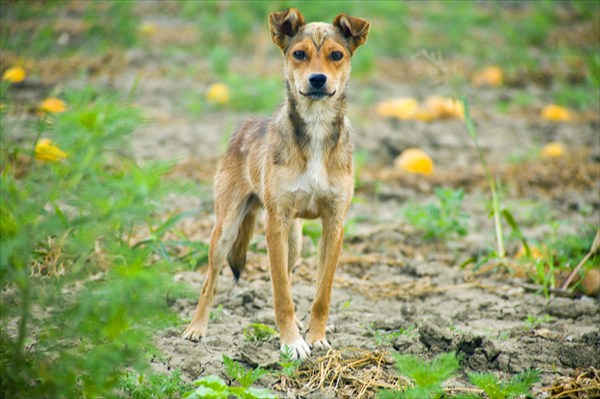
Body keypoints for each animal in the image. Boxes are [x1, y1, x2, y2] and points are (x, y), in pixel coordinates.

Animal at [183, 8, 370, 360]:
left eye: (336, 55)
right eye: (299, 54)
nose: (317, 79)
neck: (315, 129)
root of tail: (246, 125)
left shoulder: (334, 223)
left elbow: (322, 293)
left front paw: (316, 337)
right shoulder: (275, 224)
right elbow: (281, 293)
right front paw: (291, 343)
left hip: (294, 243)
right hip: (226, 229)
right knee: (209, 282)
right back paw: (196, 329)